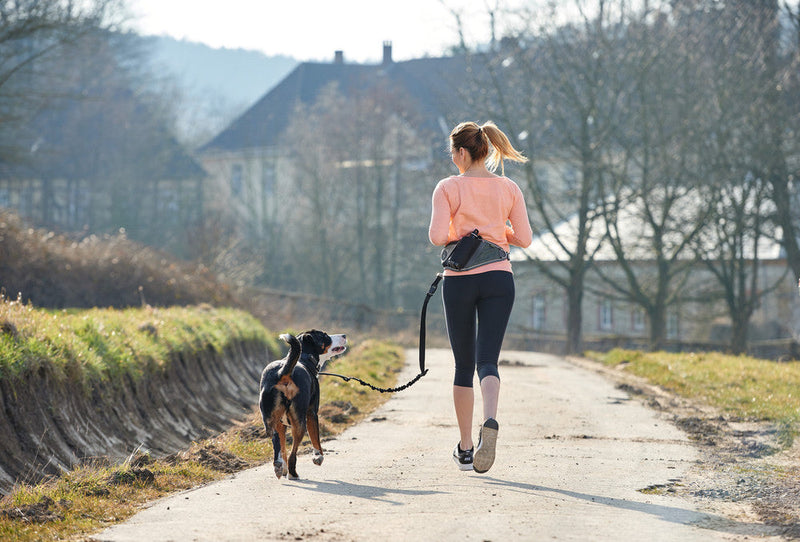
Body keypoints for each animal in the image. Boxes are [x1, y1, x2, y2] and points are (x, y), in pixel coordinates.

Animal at [260, 332, 346, 480]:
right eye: (325, 336)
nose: (344, 335)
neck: (304, 358)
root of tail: (282, 372)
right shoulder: (312, 413)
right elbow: (315, 437)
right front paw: (318, 457)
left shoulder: (281, 425)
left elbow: (282, 447)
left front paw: (283, 467)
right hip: (300, 422)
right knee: (293, 452)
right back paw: (292, 473)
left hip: (270, 421)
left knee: (276, 442)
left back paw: (279, 466)